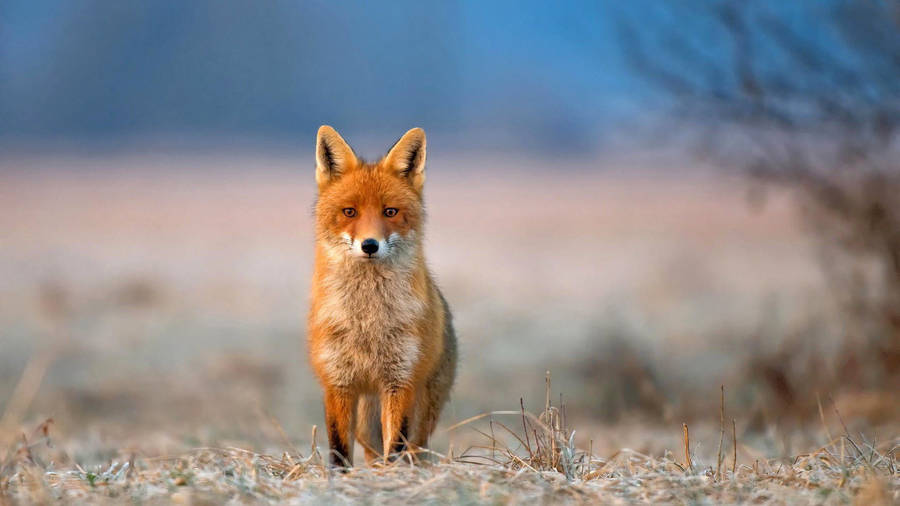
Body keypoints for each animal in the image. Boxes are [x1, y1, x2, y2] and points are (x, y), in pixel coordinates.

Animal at [307, 125, 457, 467]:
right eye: (349, 212)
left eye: (390, 212)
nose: (370, 245)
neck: (367, 322)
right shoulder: (337, 382)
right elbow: (338, 449)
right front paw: (340, 478)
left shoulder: (400, 381)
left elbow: (396, 446)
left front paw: (393, 478)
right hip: (365, 423)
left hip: (423, 412)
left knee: (414, 449)